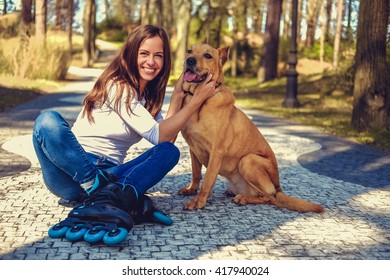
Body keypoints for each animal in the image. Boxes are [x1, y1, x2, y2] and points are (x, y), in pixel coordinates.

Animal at [178, 40, 324, 213]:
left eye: (207, 55)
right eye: (189, 51)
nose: (189, 60)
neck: (200, 99)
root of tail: (279, 188)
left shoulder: (216, 152)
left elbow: (207, 180)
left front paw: (198, 201)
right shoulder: (193, 149)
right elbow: (196, 174)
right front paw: (191, 190)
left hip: (248, 160)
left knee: (270, 198)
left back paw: (244, 199)